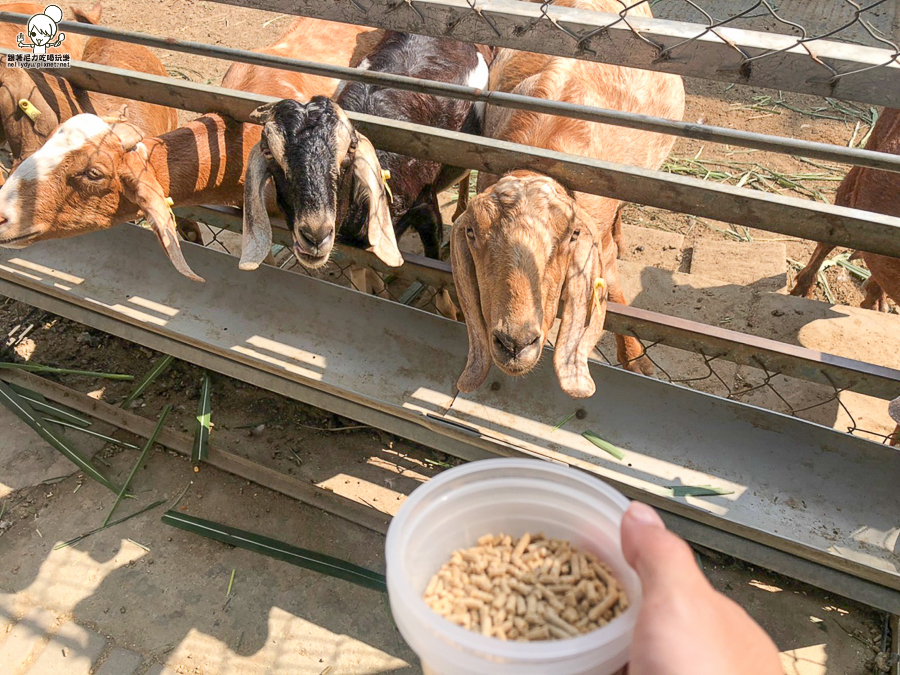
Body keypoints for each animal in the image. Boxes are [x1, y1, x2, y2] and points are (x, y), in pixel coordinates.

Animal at [454, 0, 684, 398]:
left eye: (571, 236)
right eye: (472, 233)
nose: (514, 343)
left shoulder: (599, 237)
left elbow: (615, 288)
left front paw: (636, 359)